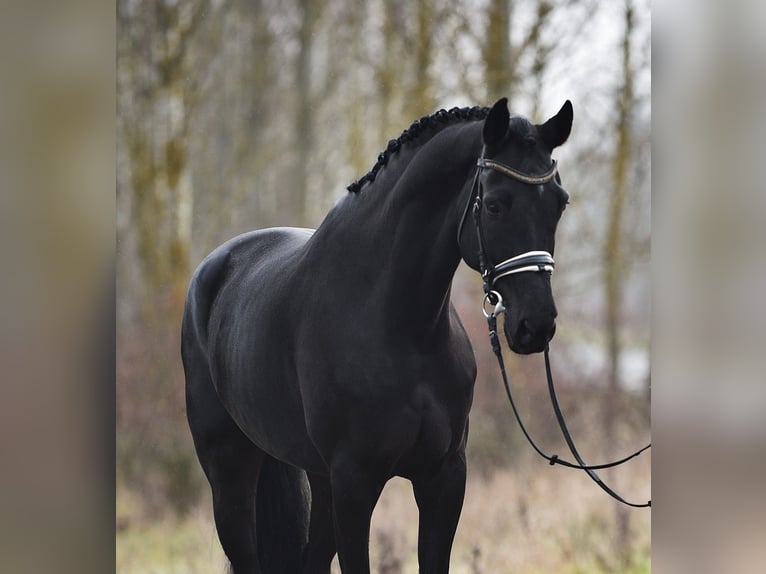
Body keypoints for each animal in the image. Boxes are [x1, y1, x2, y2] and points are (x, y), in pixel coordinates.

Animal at [183, 97, 572, 572]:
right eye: (496, 205)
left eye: (560, 203)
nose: (536, 325)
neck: (402, 329)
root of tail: (215, 268)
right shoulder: (355, 484)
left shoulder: (443, 479)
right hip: (231, 475)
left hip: (317, 478)